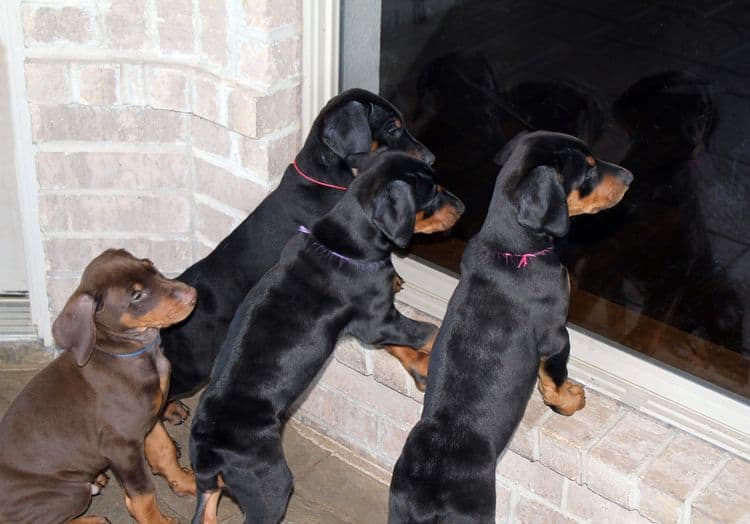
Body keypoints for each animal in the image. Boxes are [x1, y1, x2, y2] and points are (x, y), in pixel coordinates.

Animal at [0, 250, 197, 524]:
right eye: (136, 295)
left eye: (151, 267)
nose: (192, 294)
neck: (126, 353)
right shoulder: (122, 446)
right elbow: (143, 493)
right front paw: (157, 521)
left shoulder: (148, 418)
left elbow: (164, 450)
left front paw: (185, 482)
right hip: (70, 492)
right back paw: (93, 518)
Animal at [390, 132, 632, 524]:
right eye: (589, 169)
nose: (629, 177)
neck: (509, 246)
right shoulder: (555, 335)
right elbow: (555, 377)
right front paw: (569, 400)